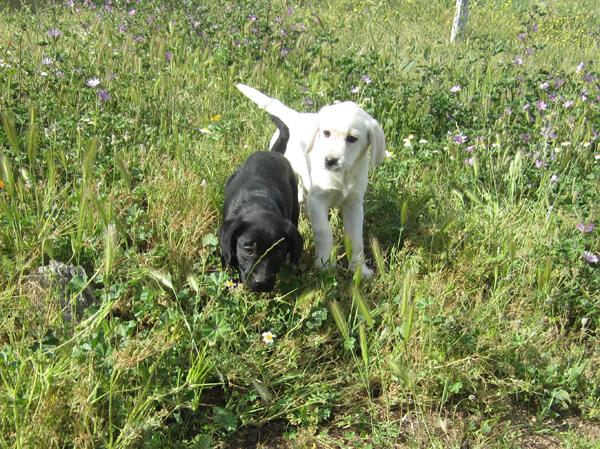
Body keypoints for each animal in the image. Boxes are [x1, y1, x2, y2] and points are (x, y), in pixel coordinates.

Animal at [219, 116, 302, 290]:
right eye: (248, 250)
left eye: (278, 252)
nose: (262, 283)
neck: (258, 204)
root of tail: (272, 152)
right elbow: (228, 260)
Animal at [234, 82, 384, 274]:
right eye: (326, 133)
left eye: (352, 139)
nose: (330, 160)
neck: (340, 176)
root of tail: (295, 117)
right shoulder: (317, 200)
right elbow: (324, 232)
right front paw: (324, 263)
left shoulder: (354, 204)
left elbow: (356, 239)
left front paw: (359, 268)